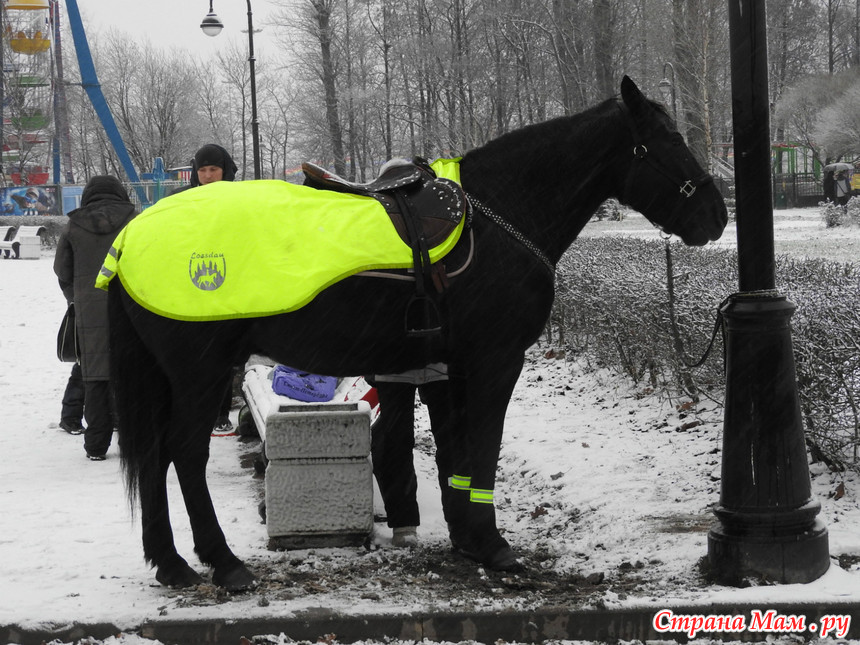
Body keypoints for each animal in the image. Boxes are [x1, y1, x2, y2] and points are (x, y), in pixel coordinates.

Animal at [107, 75, 724, 588]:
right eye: (669, 138)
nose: (716, 216)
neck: (500, 212)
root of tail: (130, 234)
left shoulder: (453, 367)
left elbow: (459, 451)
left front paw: (469, 540)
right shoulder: (497, 359)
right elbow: (484, 446)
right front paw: (494, 546)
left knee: (158, 456)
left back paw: (170, 562)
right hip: (199, 373)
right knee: (184, 453)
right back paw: (221, 561)